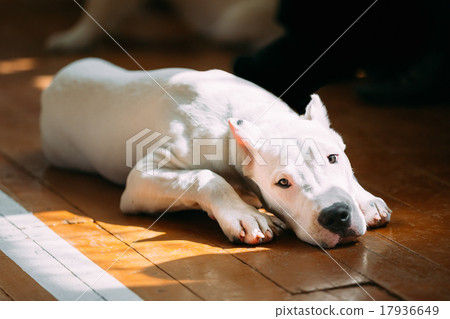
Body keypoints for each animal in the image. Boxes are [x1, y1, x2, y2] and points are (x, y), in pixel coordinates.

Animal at [40, 58, 390, 249]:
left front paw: (365, 198)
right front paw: (246, 215)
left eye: (334, 159)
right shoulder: (141, 180)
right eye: (283, 183)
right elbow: (206, 178)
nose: (336, 215)